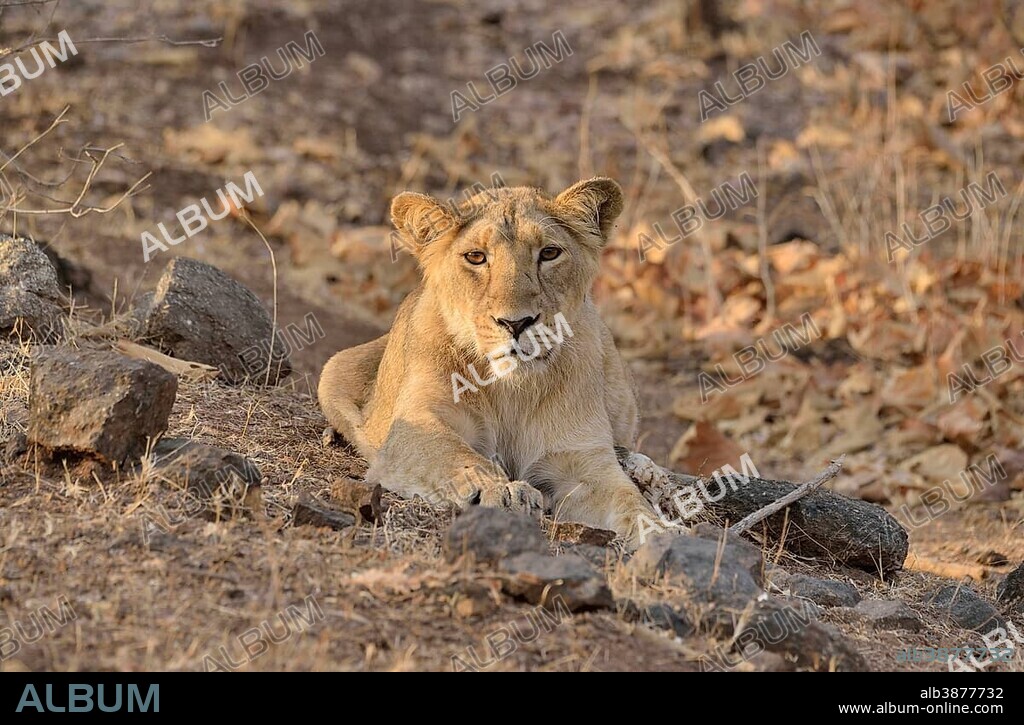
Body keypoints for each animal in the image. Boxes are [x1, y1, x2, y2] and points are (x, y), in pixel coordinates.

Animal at [318, 178, 664, 547]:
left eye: (549, 253)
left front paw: (661, 533)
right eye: (476, 257)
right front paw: (503, 492)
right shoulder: (417, 426)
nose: (516, 323)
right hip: (336, 370)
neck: (511, 389)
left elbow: (629, 501)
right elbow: (460, 457)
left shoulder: (582, 459)